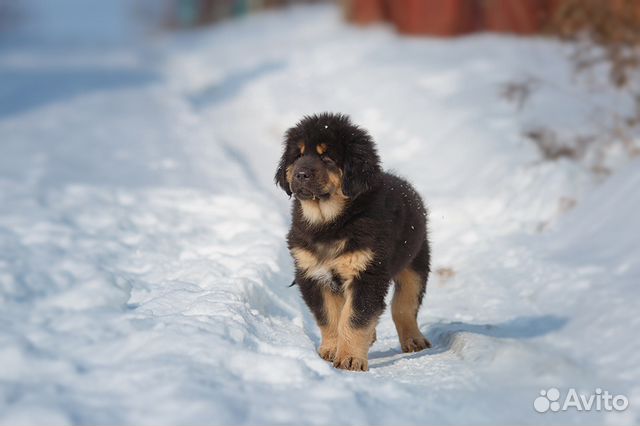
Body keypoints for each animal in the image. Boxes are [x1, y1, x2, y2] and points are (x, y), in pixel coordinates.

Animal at [276, 112, 430, 370]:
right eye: (297, 156)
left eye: (327, 157)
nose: (300, 174)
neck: (330, 222)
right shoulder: (313, 274)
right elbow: (329, 317)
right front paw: (331, 350)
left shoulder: (367, 273)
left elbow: (355, 318)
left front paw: (349, 358)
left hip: (416, 261)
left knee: (404, 305)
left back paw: (413, 340)